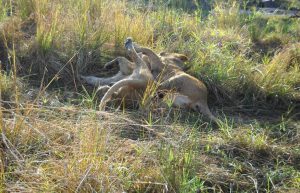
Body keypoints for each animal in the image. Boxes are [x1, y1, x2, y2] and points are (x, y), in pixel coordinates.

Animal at [81, 37, 217, 121]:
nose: (162, 51)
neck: (174, 62)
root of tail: (203, 100)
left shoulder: (157, 61)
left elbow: (148, 50)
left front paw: (136, 46)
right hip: (167, 98)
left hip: (174, 80)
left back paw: (130, 44)